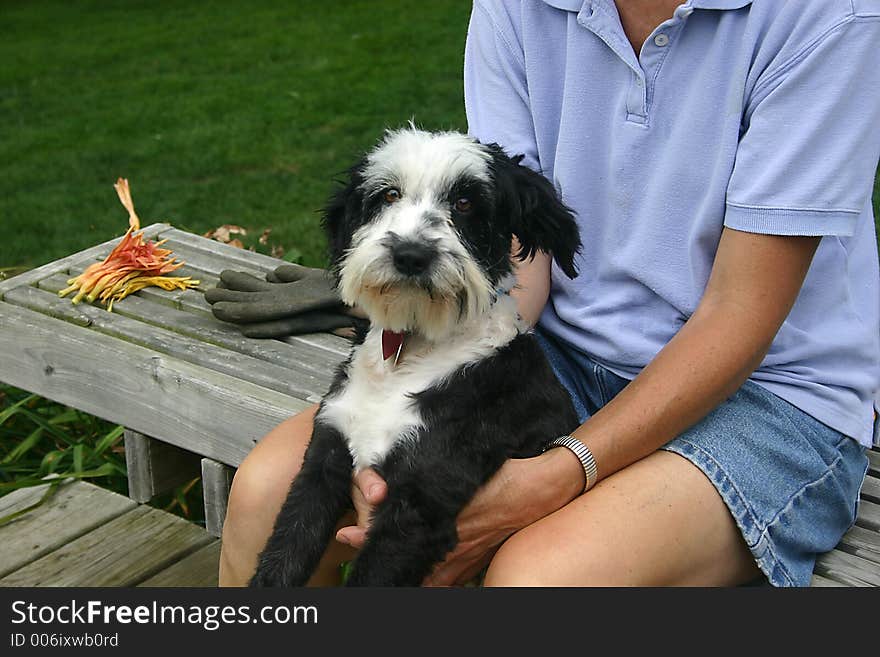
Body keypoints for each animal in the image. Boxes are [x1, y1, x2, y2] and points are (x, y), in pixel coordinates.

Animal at [253, 125, 584, 588]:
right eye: (389, 194)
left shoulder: (418, 504)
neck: (407, 355)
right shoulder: (324, 459)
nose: (410, 255)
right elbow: (283, 554)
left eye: (465, 202)